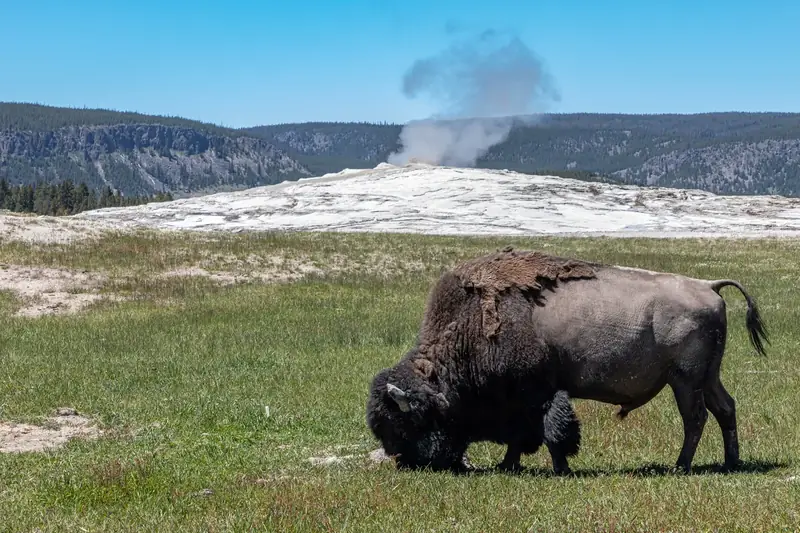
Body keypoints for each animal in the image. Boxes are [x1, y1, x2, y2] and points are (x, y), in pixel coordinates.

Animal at [366, 247, 768, 474]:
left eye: (406, 423)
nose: (404, 461)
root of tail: (708, 285)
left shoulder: (538, 395)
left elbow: (549, 431)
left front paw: (556, 468)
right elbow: (526, 435)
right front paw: (509, 465)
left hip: (685, 381)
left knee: (696, 418)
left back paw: (680, 466)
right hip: (708, 378)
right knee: (725, 409)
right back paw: (731, 462)